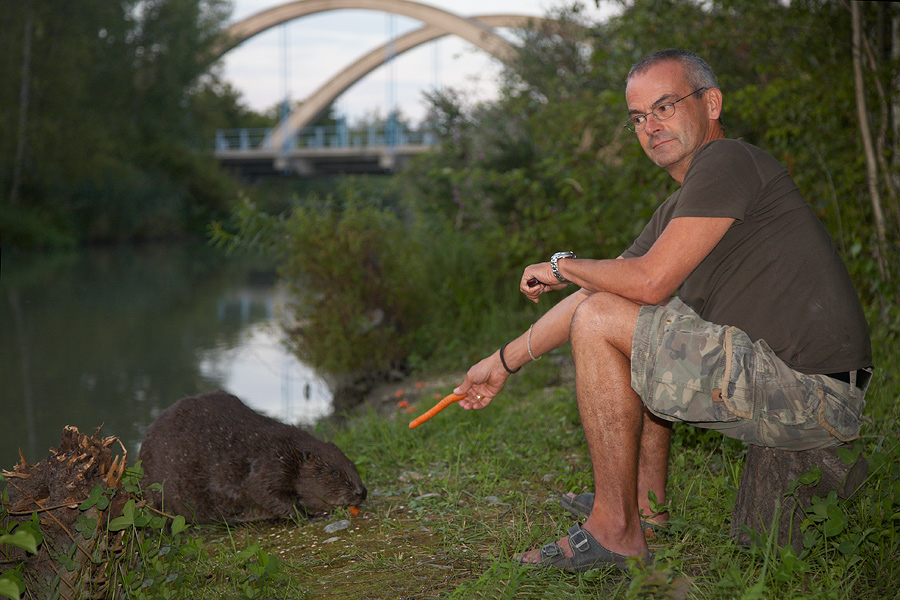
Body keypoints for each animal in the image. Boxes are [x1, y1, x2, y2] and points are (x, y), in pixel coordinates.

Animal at [137, 392, 366, 524]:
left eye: (352, 464)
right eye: (335, 473)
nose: (361, 492)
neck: (290, 451)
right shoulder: (269, 466)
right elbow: (264, 492)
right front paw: (311, 515)